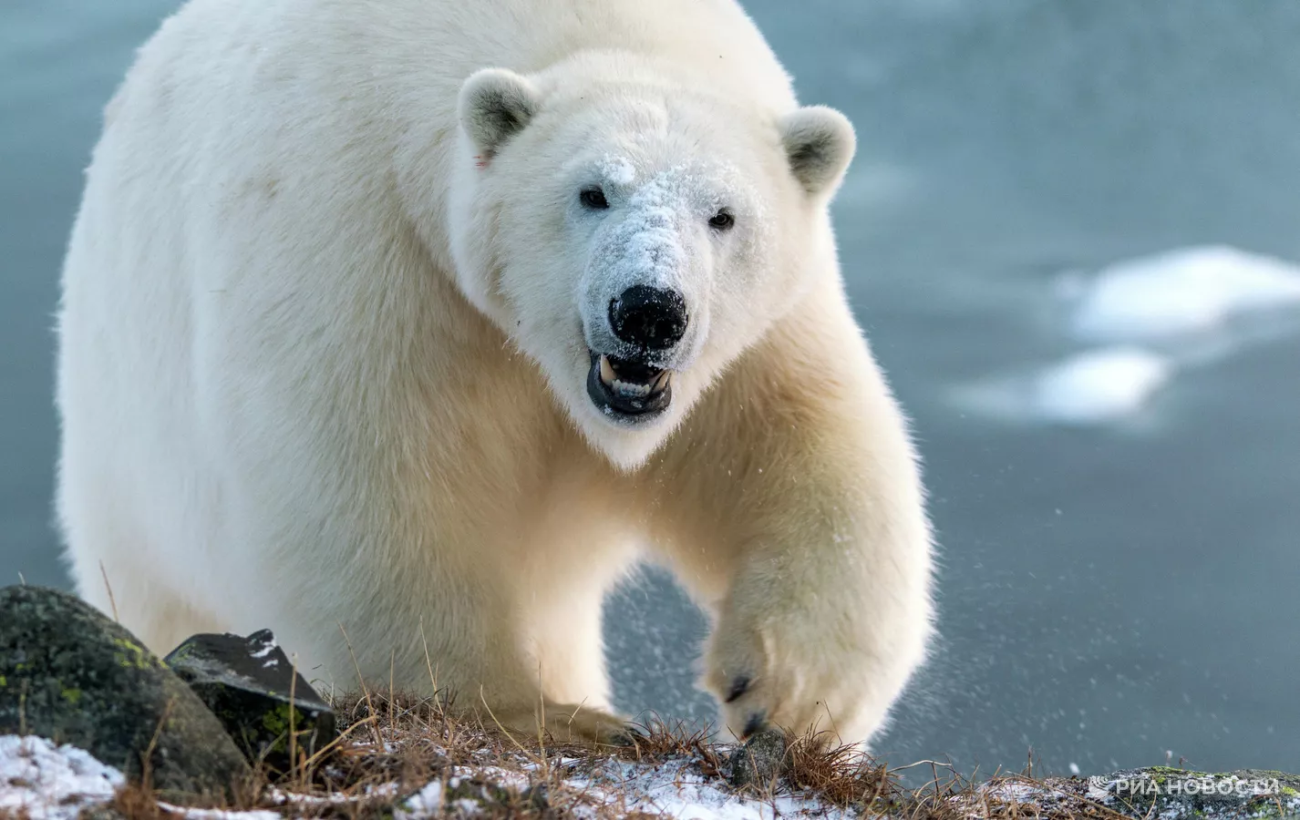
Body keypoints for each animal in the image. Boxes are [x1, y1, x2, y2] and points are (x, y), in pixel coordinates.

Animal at [58, 0, 935, 748]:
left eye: (723, 215)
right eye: (592, 192)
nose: (649, 311)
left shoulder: (752, 338)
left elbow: (801, 446)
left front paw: (784, 696)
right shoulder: (364, 238)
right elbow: (367, 477)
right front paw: (541, 717)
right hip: (130, 479)